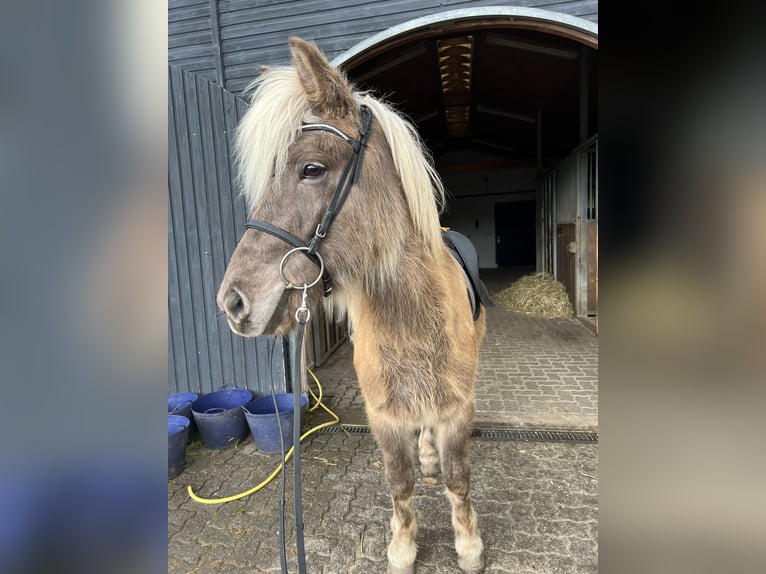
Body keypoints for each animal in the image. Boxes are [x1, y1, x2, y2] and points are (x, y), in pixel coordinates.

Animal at [216, 38, 488, 572]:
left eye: (312, 169)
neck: (411, 318)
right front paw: (402, 547)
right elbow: (399, 481)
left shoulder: (456, 409)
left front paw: (468, 546)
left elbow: (458, 478)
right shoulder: (382, 413)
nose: (232, 302)